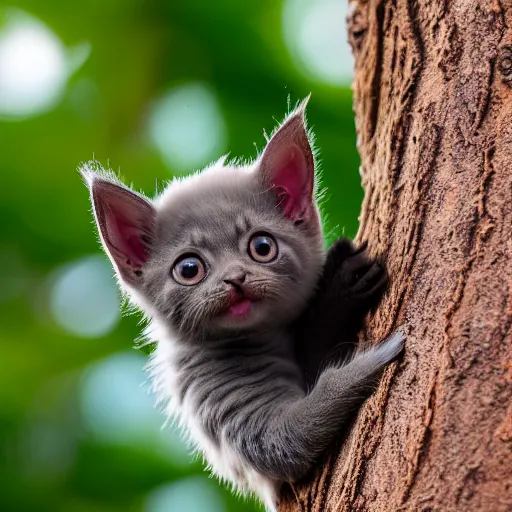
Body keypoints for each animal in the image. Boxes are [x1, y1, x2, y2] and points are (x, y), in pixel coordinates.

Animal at [81, 101, 404, 512]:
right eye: (189, 268)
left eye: (262, 246)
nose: (235, 279)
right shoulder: (226, 408)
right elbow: (293, 435)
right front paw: (360, 327)